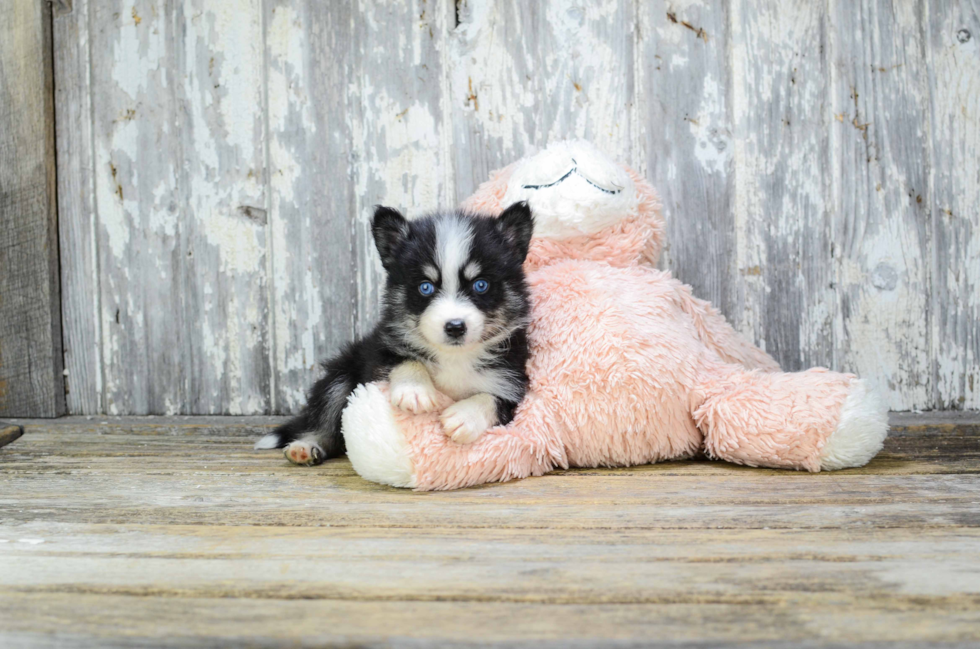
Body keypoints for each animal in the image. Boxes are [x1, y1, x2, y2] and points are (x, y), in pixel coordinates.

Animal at [253, 204, 528, 466]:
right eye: (425, 287)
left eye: (481, 285)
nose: (455, 327)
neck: (454, 356)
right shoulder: (379, 350)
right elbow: (403, 359)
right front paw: (414, 391)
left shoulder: (513, 381)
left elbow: (493, 400)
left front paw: (464, 416)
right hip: (340, 375)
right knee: (326, 422)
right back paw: (305, 446)